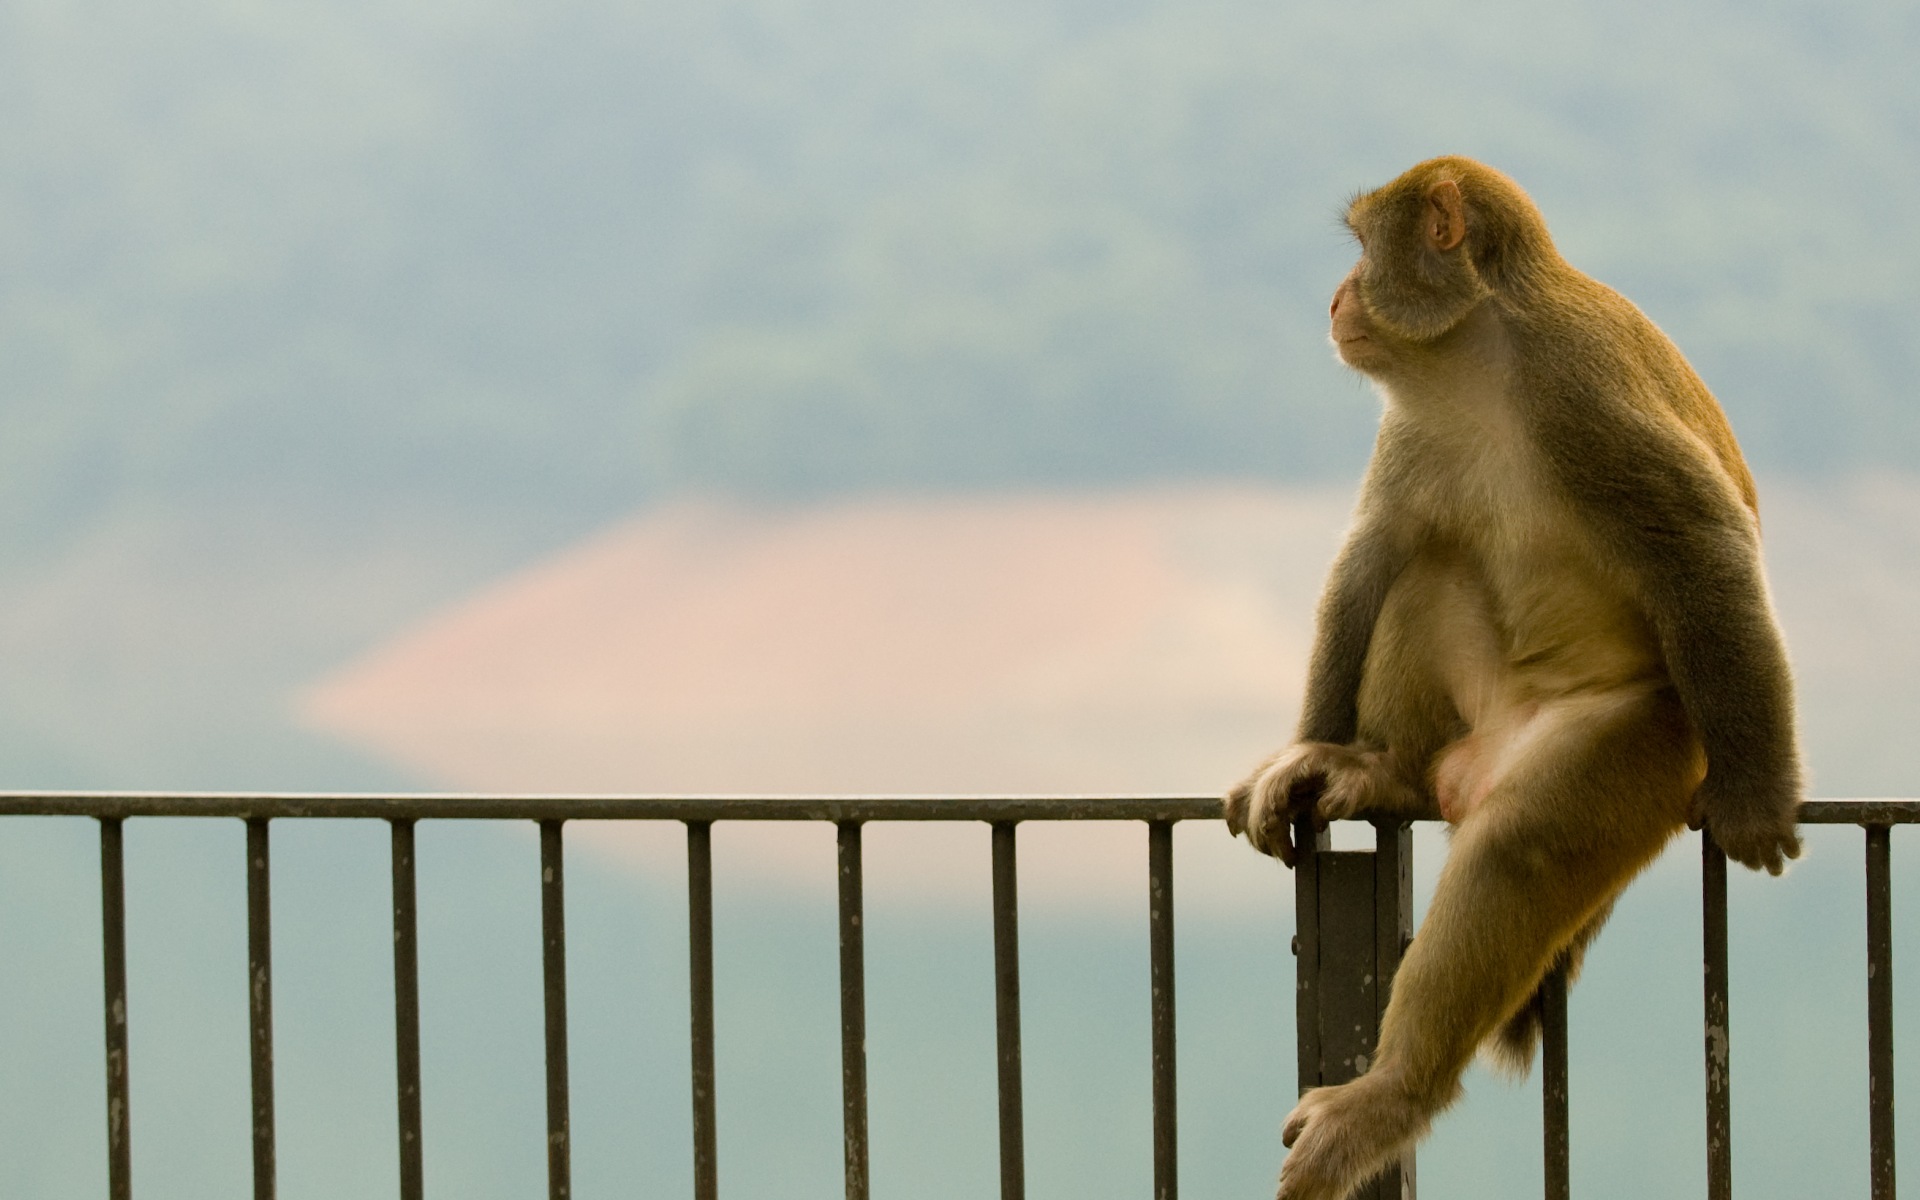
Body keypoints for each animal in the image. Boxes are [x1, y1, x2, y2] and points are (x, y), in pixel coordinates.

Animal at [1228, 159, 1797, 1198]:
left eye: (1364, 251)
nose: (1335, 298)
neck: (1477, 364)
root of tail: (1475, 762)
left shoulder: (1583, 394)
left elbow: (1703, 544)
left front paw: (1758, 796)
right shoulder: (1411, 426)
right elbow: (1373, 556)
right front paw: (1307, 751)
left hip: (1651, 739)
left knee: (1518, 845)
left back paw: (1391, 1096)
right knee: (1428, 569)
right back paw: (1379, 768)